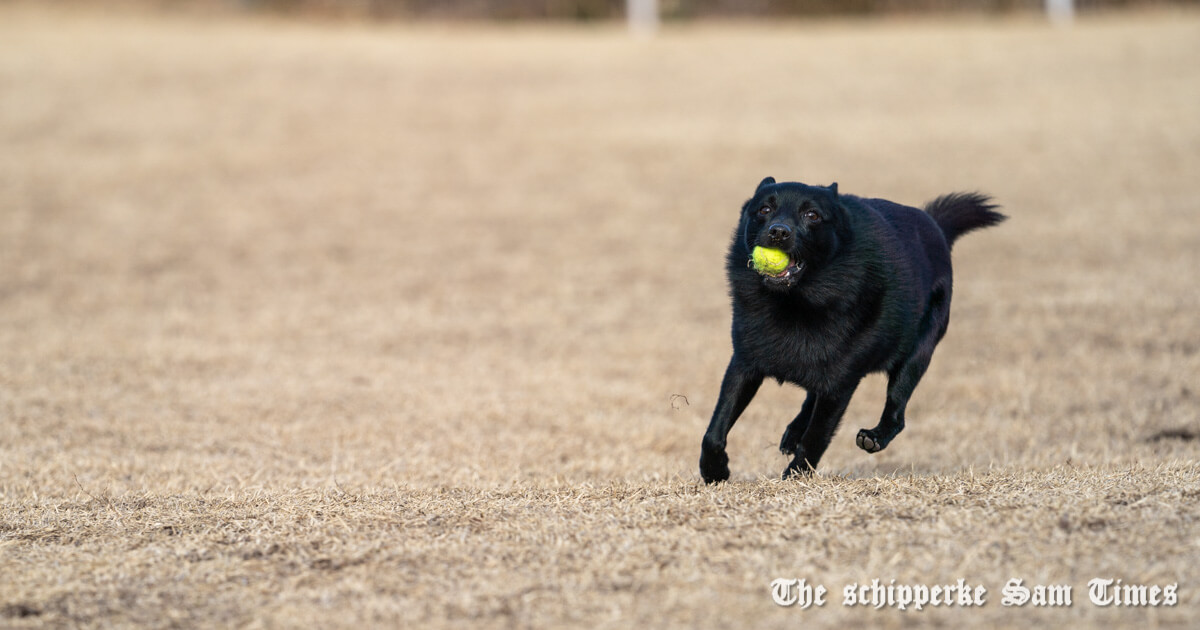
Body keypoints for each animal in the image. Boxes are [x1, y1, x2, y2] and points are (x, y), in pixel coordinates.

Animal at [700, 176, 1008, 482]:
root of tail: (937, 227)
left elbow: (816, 438)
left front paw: (795, 477)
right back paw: (793, 433)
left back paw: (874, 436)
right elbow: (715, 429)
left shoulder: (840, 384)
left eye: (812, 215)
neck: (796, 302)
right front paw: (714, 470)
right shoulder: (744, 364)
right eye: (764, 209)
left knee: (897, 412)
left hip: (916, 357)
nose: (778, 232)